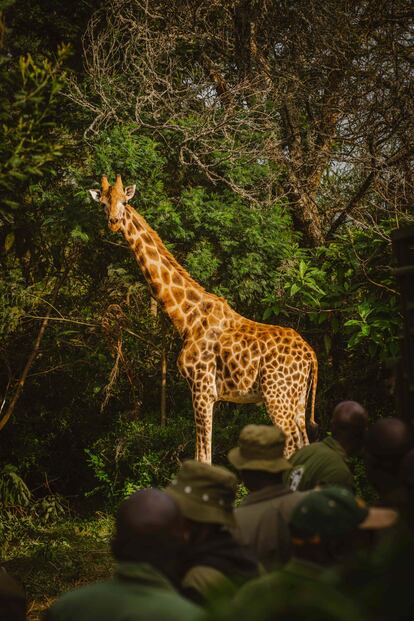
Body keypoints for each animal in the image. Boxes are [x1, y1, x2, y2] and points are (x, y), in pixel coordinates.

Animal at [89, 174, 318, 460]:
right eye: (102, 204)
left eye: (124, 201)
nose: (113, 222)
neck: (186, 318)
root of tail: (311, 355)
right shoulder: (208, 392)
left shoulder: (202, 388)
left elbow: (203, 455)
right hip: (297, 400)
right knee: (305, 444)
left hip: (277, 396)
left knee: (291, 445)